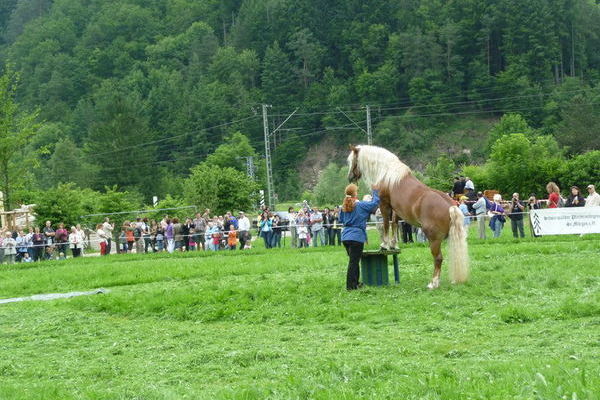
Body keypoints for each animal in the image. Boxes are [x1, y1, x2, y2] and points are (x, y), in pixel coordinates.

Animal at [346, 145, 468, 290]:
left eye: (352, 160)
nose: (350, 177)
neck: (387, 172)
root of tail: (451, 207)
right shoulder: (395, 210)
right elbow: (394, 224)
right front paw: (393, 245)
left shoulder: (384, 205)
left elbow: (386, 224)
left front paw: (384, 245)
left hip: (434, 240)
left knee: (438, 258)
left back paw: (433, 283)